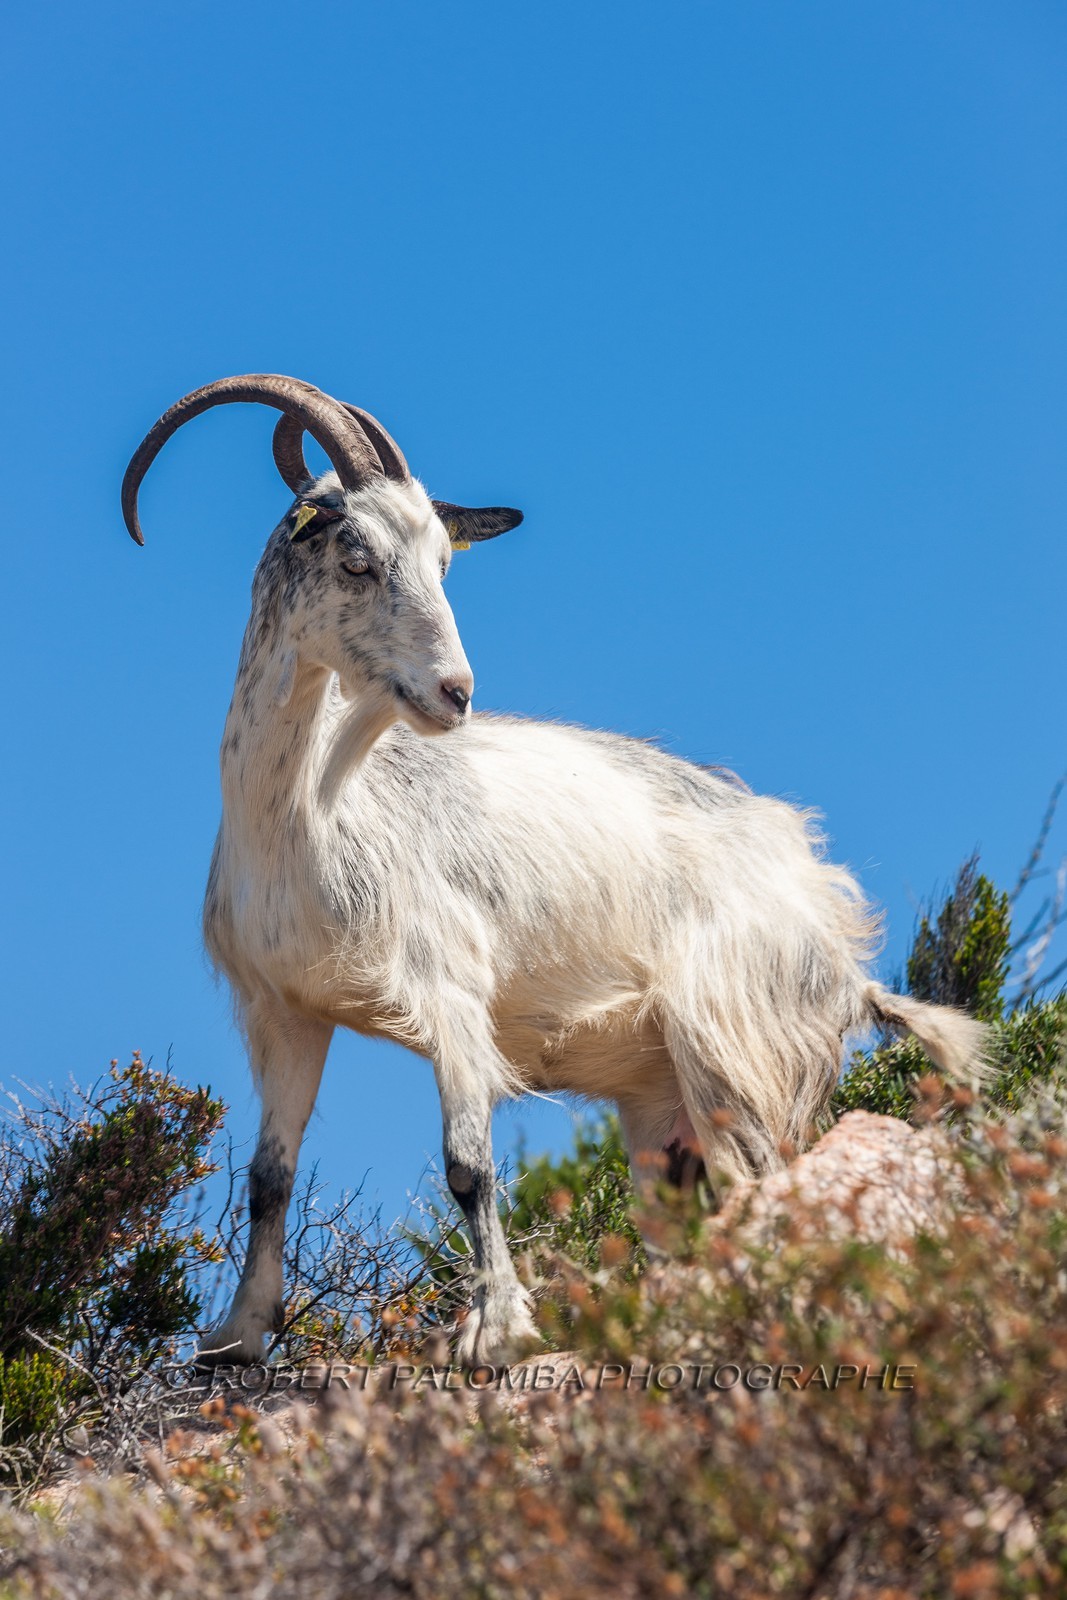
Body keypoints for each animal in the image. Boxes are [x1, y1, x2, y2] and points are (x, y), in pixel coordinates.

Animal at [122, 374, 989, 1366]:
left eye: (444, 563)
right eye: (355, 559)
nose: (455, 692)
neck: (308, 819)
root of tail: (832, 923)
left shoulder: (453, 1003)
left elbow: (468, 1166)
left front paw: (496, 1329)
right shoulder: (287, 1013)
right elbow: (269, 1174)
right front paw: (236, 1336)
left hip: (733, 1048)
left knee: (765, 1179)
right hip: (660, 1104)